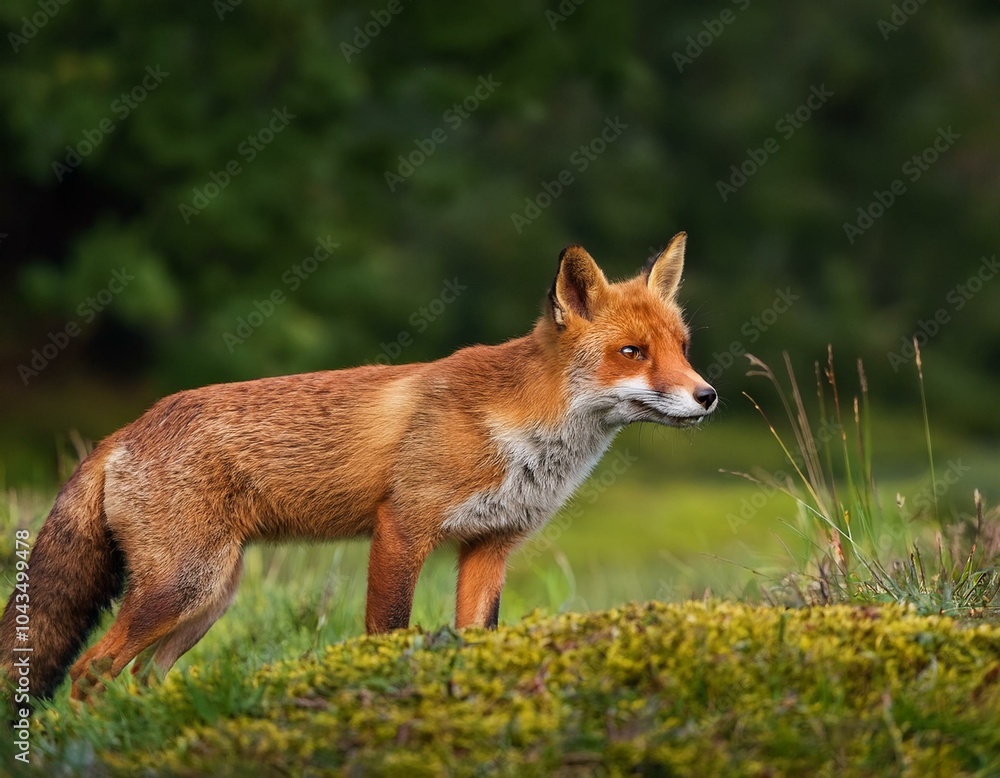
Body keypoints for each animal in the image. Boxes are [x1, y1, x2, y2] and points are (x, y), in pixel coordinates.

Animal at [0, 232, 717, 702]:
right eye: (633, 352)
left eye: (683, 348)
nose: (708, 396)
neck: (523, 434)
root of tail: (127, 429)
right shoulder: (402, 528)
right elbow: (387, 629)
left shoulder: (491, 546)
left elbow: (476, 636)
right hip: (181, 588)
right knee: (91, 670)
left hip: (207, 600)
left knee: (141, 678)